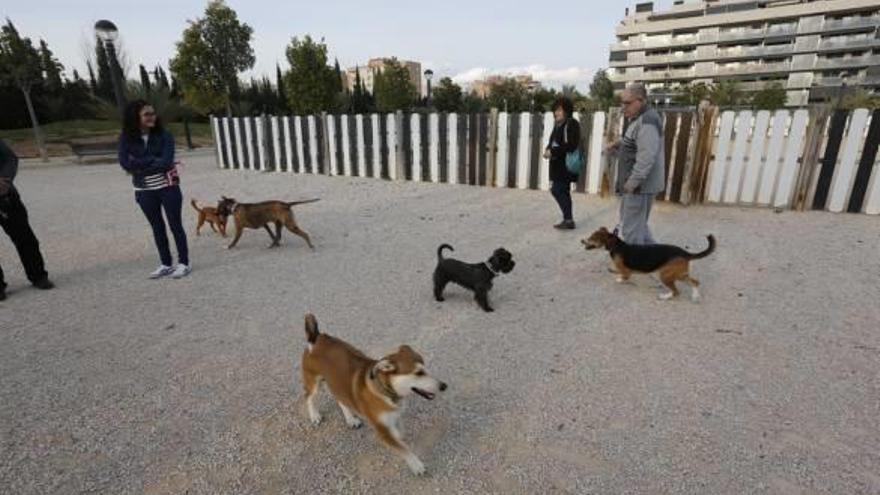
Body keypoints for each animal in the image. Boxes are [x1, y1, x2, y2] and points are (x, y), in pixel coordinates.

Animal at [300, 314, 446, 476]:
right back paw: (315, 416)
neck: (385, 392)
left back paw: (351, 419)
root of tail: (316, 338)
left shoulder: (395, 418)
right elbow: (403, 449)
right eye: (419, 373)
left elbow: (400, 435)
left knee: (340, 399)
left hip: (336, 383)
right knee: (309, 397)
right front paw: (416, 465)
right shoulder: (382, 431)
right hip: (314, 382)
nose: (443, 386)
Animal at [584, 227, 716, 300]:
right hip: (679, 274)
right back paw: (695, 296)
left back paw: (664, 297)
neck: (616, 245)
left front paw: (619, 279)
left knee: (677, 292)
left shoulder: (626, 270)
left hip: (666, 274)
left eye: (592, 238)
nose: (582, 240)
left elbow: (622, 274)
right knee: (695, 282)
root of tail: (685, 252)